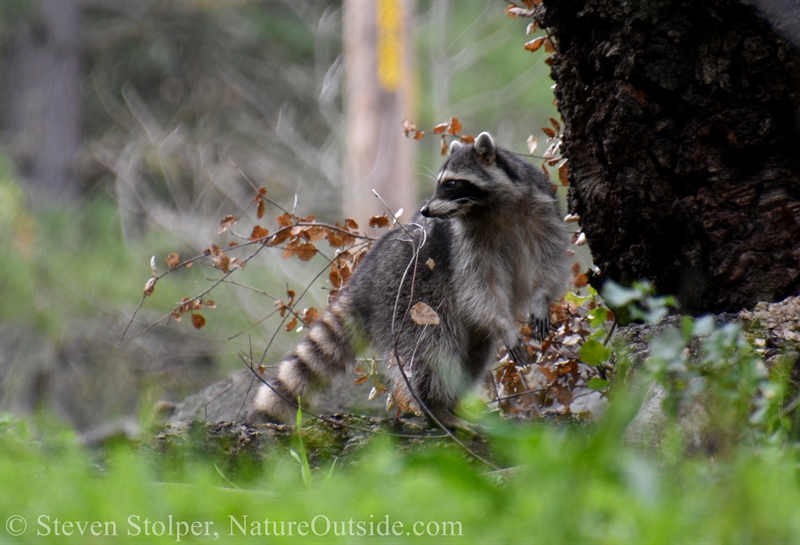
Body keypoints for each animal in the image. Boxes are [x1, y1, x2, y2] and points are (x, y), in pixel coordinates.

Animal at [252, 132, 570, 427]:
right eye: (440, 182)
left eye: (451, 183)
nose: (426, 210)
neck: (488, 207)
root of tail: (364, 279)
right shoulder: (463, 246)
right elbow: (480, 286)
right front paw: (504, 323)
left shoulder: (540, 208)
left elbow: (549, 261)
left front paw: (541, 298)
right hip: (408, 297)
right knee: (431, 349)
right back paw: (435, 405)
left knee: (471, 356)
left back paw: (449, 403)